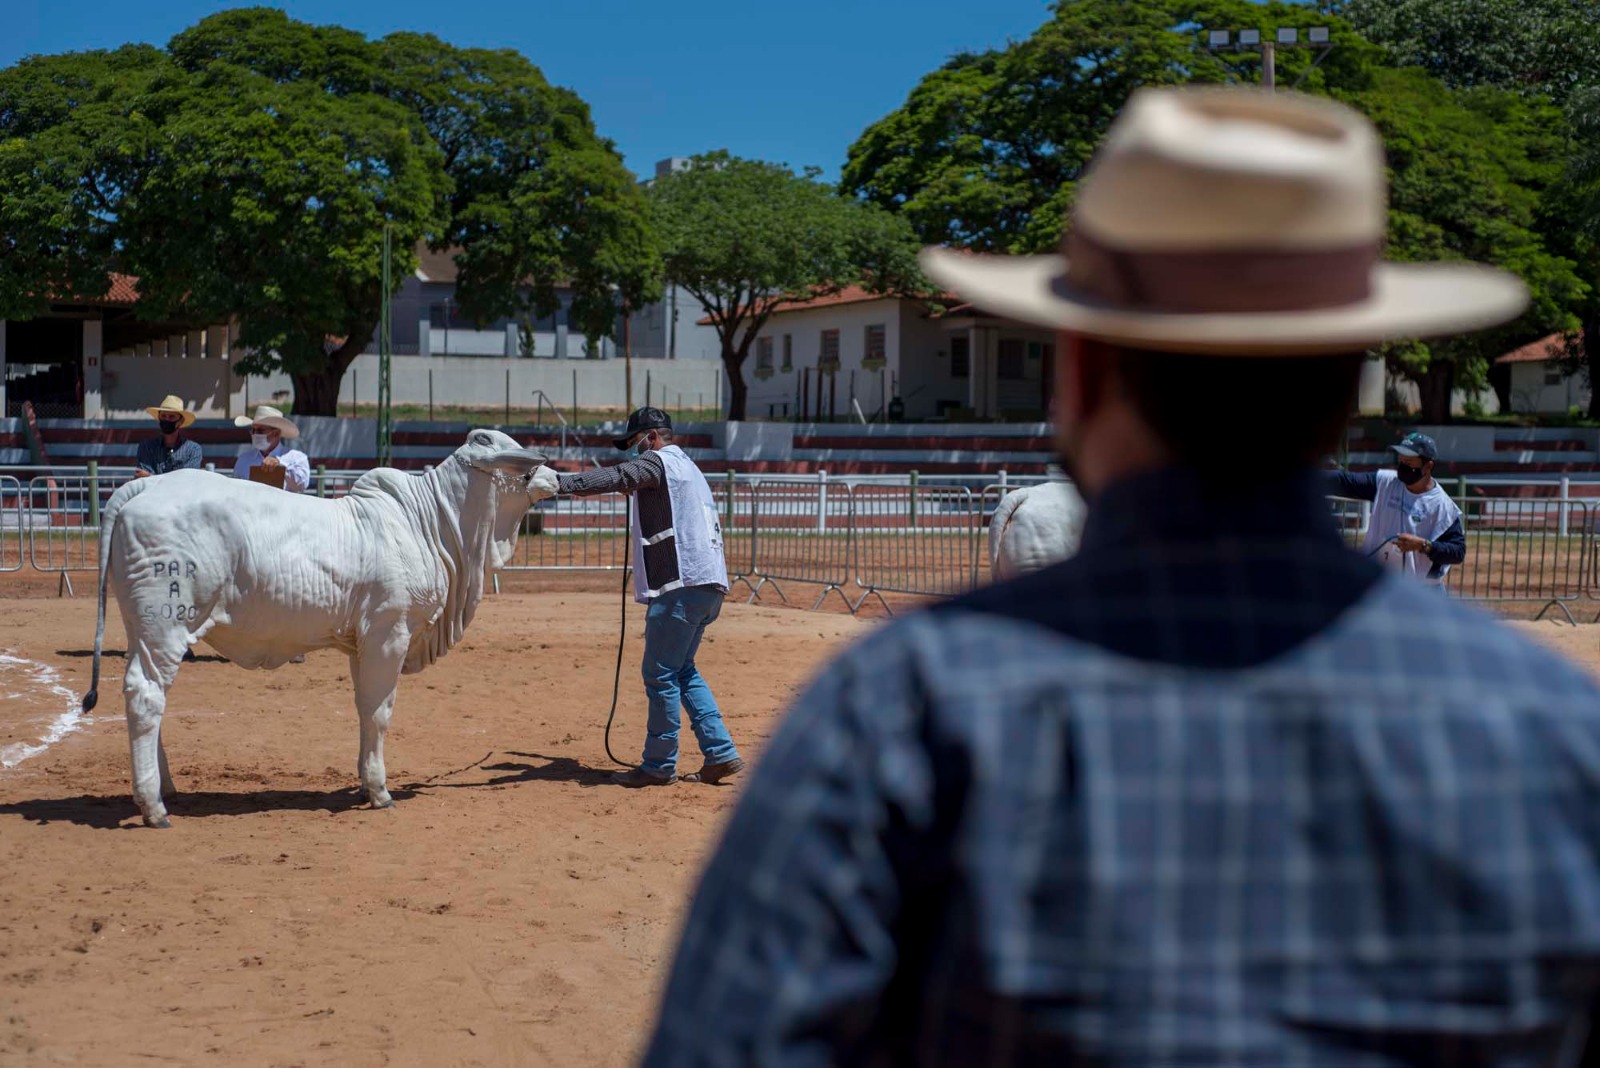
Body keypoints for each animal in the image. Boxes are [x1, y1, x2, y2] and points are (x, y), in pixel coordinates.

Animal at [82, 431, 556, 824]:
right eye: (519, 460)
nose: (554, 475)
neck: (431, 524)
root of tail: (144, 486)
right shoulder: (389, 633)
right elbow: (380, 711)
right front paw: (380, 792)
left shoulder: (361, 644)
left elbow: (364, 709)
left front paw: (365, 783)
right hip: (166, 625)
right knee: (146, 696)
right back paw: (153, 806)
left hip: (142, 628)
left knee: (148, 697)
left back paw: (166, 787)